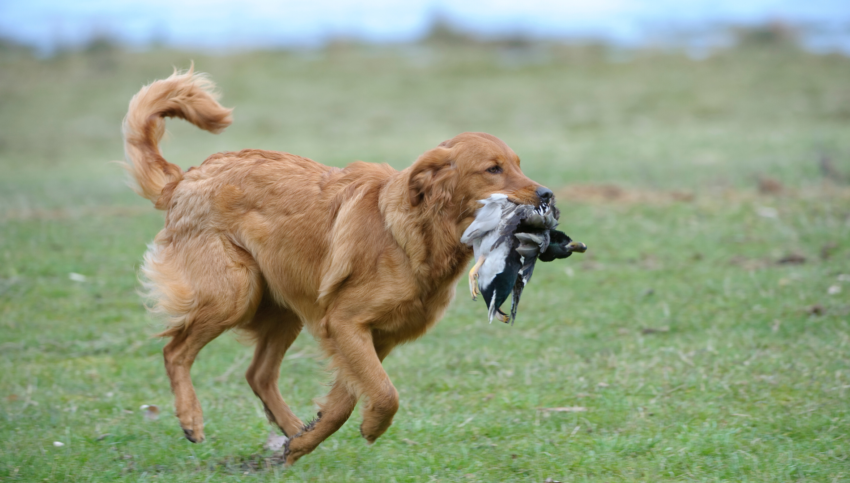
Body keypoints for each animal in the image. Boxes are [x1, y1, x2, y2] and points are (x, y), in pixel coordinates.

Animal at [122, 68, 552, 466]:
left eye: (517, 164)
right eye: (493, 169)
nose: (546, 194)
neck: (414, 233)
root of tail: (185, 179)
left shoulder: (374, 335)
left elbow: (347, 401)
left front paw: (304, 443)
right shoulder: (345, 322)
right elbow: (385, 393)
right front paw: (371, 427)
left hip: (284, 307)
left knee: (257, 374)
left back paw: (291, 431)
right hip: (235, 293)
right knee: (175, 351)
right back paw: (191, 419)